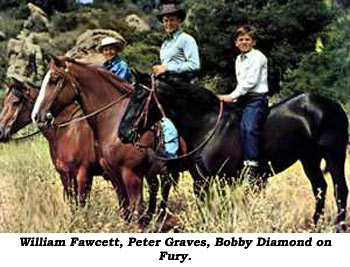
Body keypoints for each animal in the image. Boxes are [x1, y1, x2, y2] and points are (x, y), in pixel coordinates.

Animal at [118, 75, 350, 232]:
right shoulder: (201, 182)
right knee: (319, 188)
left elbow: (223, 209)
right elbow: (205, 210)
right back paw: (315, 225)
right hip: (309, 158)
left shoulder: (221, 180)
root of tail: (333, 105)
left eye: (140, 97)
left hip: (334, 154)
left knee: (340, 189)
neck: (207, 126)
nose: (122, 133)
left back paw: (338, 227)